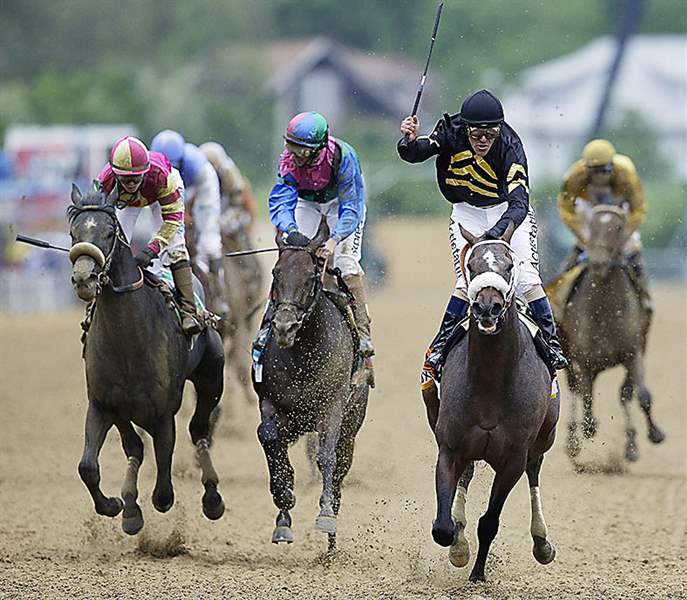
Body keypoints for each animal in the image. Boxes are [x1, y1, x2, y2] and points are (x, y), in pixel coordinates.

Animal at [67, 186, 224, 536]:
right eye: (74, 233)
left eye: (109, 232)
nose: (84, 279)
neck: (127, 342)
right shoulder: (104, 405)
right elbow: (89, 466)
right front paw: (117, 506)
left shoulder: (163, 412)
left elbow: (164, 485)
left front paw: (141, 504)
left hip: (212, 378)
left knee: (199, 430)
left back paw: (212, 498)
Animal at [253, 221, 370, 552]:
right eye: (275, 273)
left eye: (310, 275)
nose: (284, 327)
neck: (303, 353)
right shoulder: (270, 402)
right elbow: (268, 438)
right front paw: (284, 506)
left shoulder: (332, 407)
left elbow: (326, 457)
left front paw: (326, 516)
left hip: (351, 427)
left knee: (340, 469)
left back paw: (331, 543)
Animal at [432, 224, 560, 580]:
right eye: (471, 265)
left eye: (509, 265)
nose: (487, 308)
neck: (490, 381)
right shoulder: (450, 447)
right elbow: (443, 527)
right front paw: (459, 549)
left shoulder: (513, 457)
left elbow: (489, 522)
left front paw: (478, 575)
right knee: (466, 478)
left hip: (543, 438)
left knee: (534, 470)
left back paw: (542, 543)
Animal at [560, 202, 668, 460]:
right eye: (590, 225)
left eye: (618, 227)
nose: (598, 261)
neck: (605, 312)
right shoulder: (583, 358)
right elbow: (585, 396)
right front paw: (588, 429)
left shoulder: (633, 353)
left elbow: (639, 394)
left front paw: (650, 436)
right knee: (575, 389)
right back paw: (573, 440)